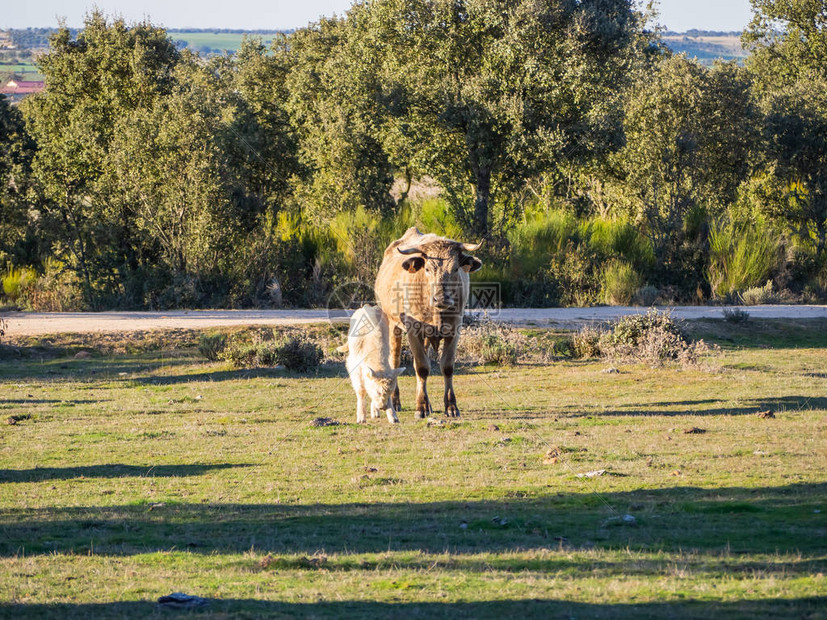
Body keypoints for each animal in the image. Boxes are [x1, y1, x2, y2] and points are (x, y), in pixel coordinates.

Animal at [374, 225, 482, 418]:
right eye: (427, 269)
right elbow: (422, 367)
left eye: (455, 269)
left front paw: (451, 406)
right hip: (392, 324)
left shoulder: (454, 330)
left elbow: (447, 366)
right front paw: (421, 407)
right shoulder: (413, 330)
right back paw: (396, 401)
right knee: (395, 361)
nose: (442, 298)